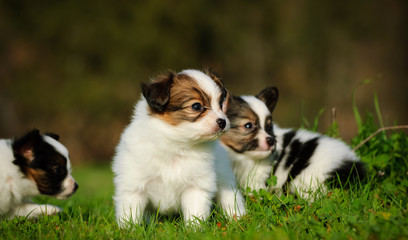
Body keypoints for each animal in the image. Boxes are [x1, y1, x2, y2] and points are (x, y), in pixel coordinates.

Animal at [111, 69, 245, 227]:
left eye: (220, 104)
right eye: (196, 106)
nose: (223, 122)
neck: (177, 144)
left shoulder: (196, 186)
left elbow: (195, 212)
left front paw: (194, 229)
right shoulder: (134, 186)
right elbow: (130, 213)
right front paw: (129, 229)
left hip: (225, 177)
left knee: (230, 197)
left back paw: (237, 218)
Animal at [220, 87, 366, 198]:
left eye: (268, 127)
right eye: (248, 126)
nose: (271, 140)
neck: (240, 158)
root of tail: (353, 164)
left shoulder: (257, 181)